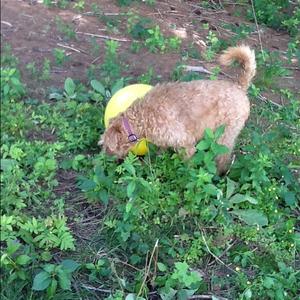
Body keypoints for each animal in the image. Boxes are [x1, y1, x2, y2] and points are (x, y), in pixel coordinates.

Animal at [100, 45, 255, 175]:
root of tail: (239, 86)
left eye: (107, 146)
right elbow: (161, 152)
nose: (103, 159)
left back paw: (219, 174)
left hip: (225, 136)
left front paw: (185, 176)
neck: (142, 117)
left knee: (223, 156)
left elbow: (187, 165)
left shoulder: (186, 143)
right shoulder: (163, 141)